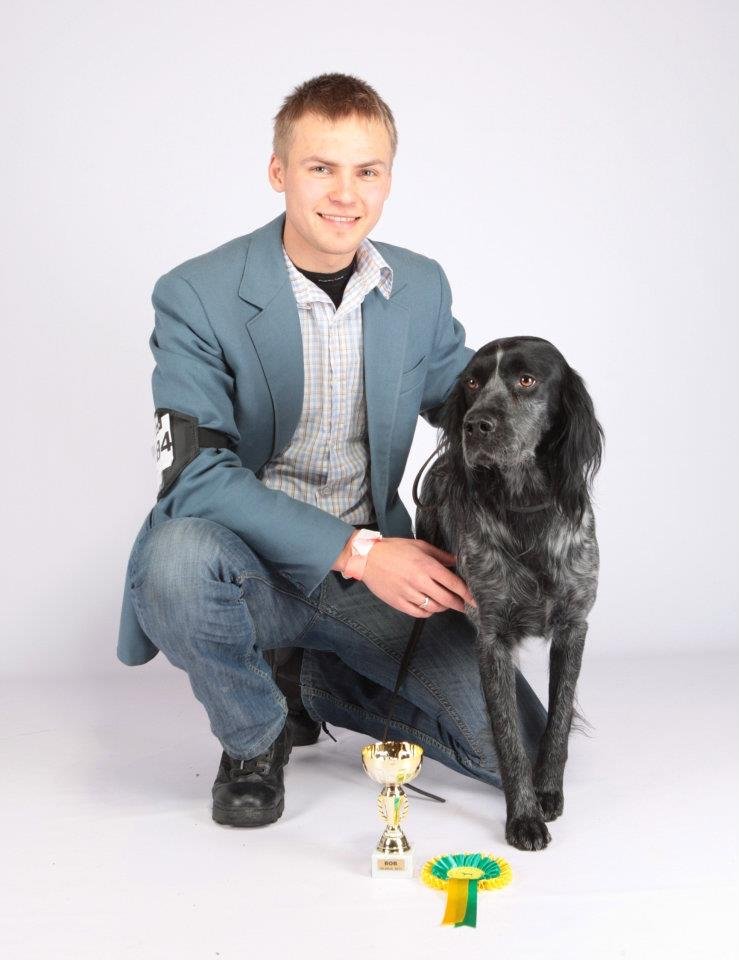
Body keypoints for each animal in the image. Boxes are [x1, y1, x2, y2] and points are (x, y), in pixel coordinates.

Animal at [413, 336, 604, 851]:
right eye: (472, 382)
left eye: (526, 379)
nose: (474, 424)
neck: (524, 507)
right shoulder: (492, 637)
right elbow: (507, 733)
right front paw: (523, 817)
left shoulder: (574, 625)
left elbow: (558, 720)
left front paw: (548, 792)